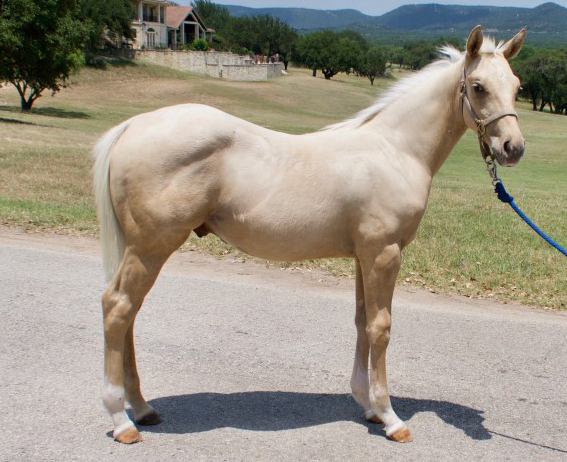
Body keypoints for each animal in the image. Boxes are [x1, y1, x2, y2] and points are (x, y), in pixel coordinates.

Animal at [94, 26, 528, 444]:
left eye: (517, 85)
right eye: (478, 86)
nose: (513, 148)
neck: (395, 150)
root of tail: (134, 125)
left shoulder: (364, 257)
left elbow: (361, 322)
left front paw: (367, 405)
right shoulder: (384, 254)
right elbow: (381, 328)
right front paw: (390, 418)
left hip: (141, 248)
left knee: (128, 311)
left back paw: (142, 408)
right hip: (151, 246)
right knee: (118, 308)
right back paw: (121, 419)